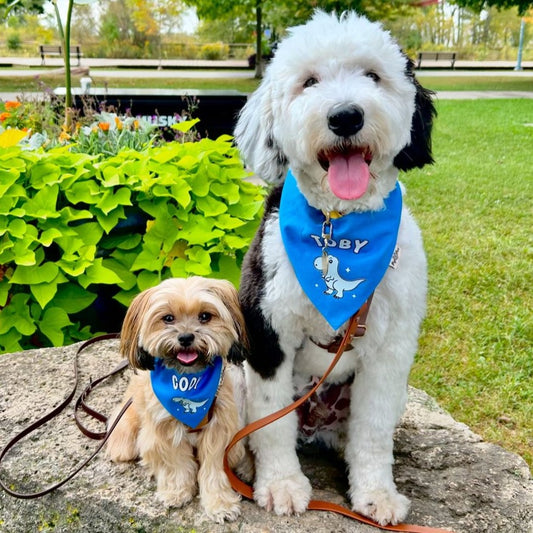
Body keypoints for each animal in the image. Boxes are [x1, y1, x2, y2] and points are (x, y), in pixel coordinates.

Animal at [106, 276, 251, 520]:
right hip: (129, 419)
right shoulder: (163, 428)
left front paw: (219, 503)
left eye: (205, 316)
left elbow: (214, 468)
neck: (188, 381)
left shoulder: (220, 428)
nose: (185, 337)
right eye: (168, 318)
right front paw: (176, 492)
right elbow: (175, 463)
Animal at [235, 10, 434, 524]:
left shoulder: (390, 352)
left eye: (373, 76)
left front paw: (376, 494)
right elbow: (271, 423)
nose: (346, 116)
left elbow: (373, 433)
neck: (338, 227)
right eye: (309, 81)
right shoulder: (267, 330)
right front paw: (281, 485)